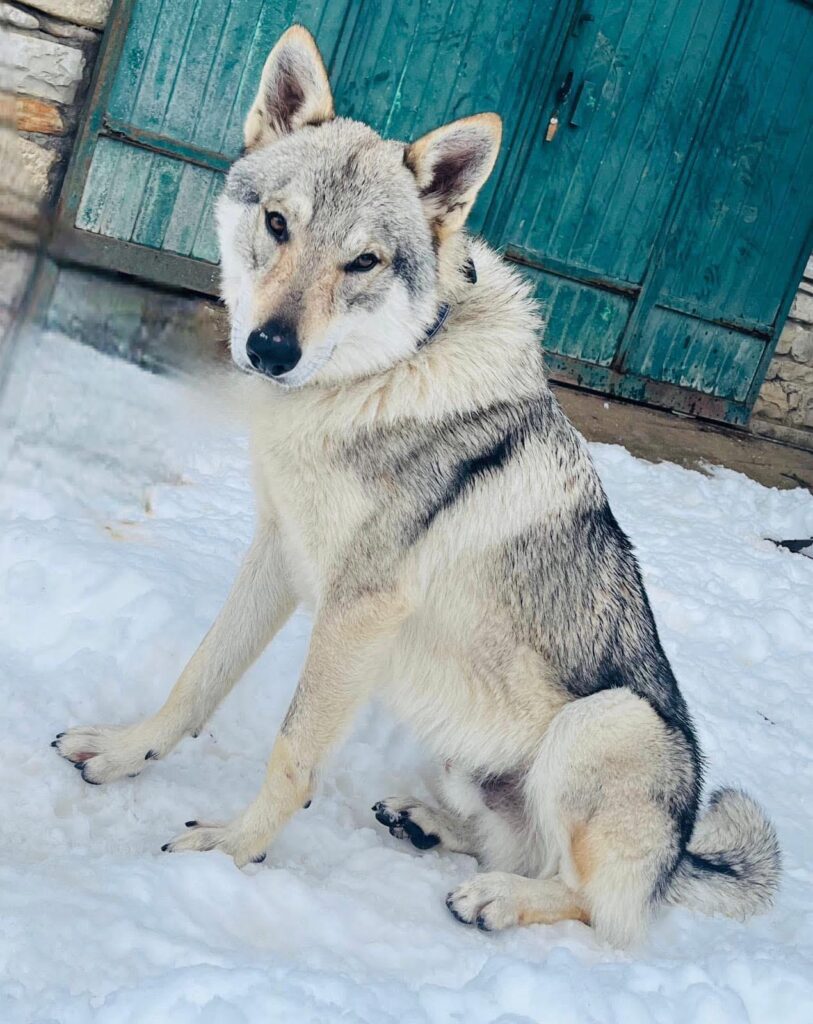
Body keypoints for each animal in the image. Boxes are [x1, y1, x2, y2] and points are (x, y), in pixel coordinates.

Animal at [53, 25, 780, 947]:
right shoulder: (279, 553)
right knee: (515, 844)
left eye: (363, 260)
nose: (270, 349)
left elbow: (291, 753)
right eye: (277, 223)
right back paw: (426, 825)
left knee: (597, 910)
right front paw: (124, 753)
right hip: (469, 755)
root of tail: (679, 856)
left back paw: (497, 901)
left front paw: (232, 850)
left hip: (605, 721)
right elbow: (198, 677)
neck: (381, 374)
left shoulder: (358, 610)